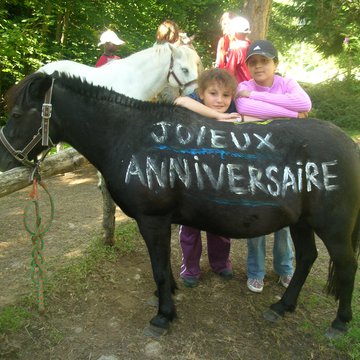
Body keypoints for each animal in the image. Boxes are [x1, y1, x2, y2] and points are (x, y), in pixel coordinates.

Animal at [0, 73, 360, 338]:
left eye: (17, 115)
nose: (4, 159)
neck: (129, 135)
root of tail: (348, 144)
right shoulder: (159, 222)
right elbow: (163, 267)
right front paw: (169, 296)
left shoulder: (153, 219)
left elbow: (159, 269)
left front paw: (163, 316)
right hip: (302, 221)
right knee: (307, 258)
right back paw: (282, 306)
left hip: (333, 226)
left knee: (346, 265)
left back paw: (340, 323)